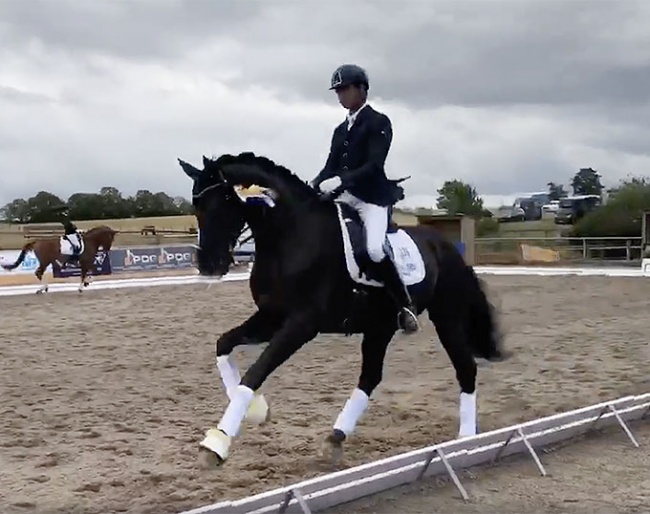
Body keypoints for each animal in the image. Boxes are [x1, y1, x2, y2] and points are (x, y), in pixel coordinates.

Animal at [176, 151, 506, 464]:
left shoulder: (302, 324)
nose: (208, 265)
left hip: (446, 317)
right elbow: (223, 345)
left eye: (223, 201)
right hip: (380, 326)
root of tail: (448, 246)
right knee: (370, 378)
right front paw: (257, 410)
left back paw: (465, 441)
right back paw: (335, 438)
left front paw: (216, 444)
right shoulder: (270, 318)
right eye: (196, 205)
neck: (291, 236)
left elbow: (256, 371)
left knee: (465, 367)